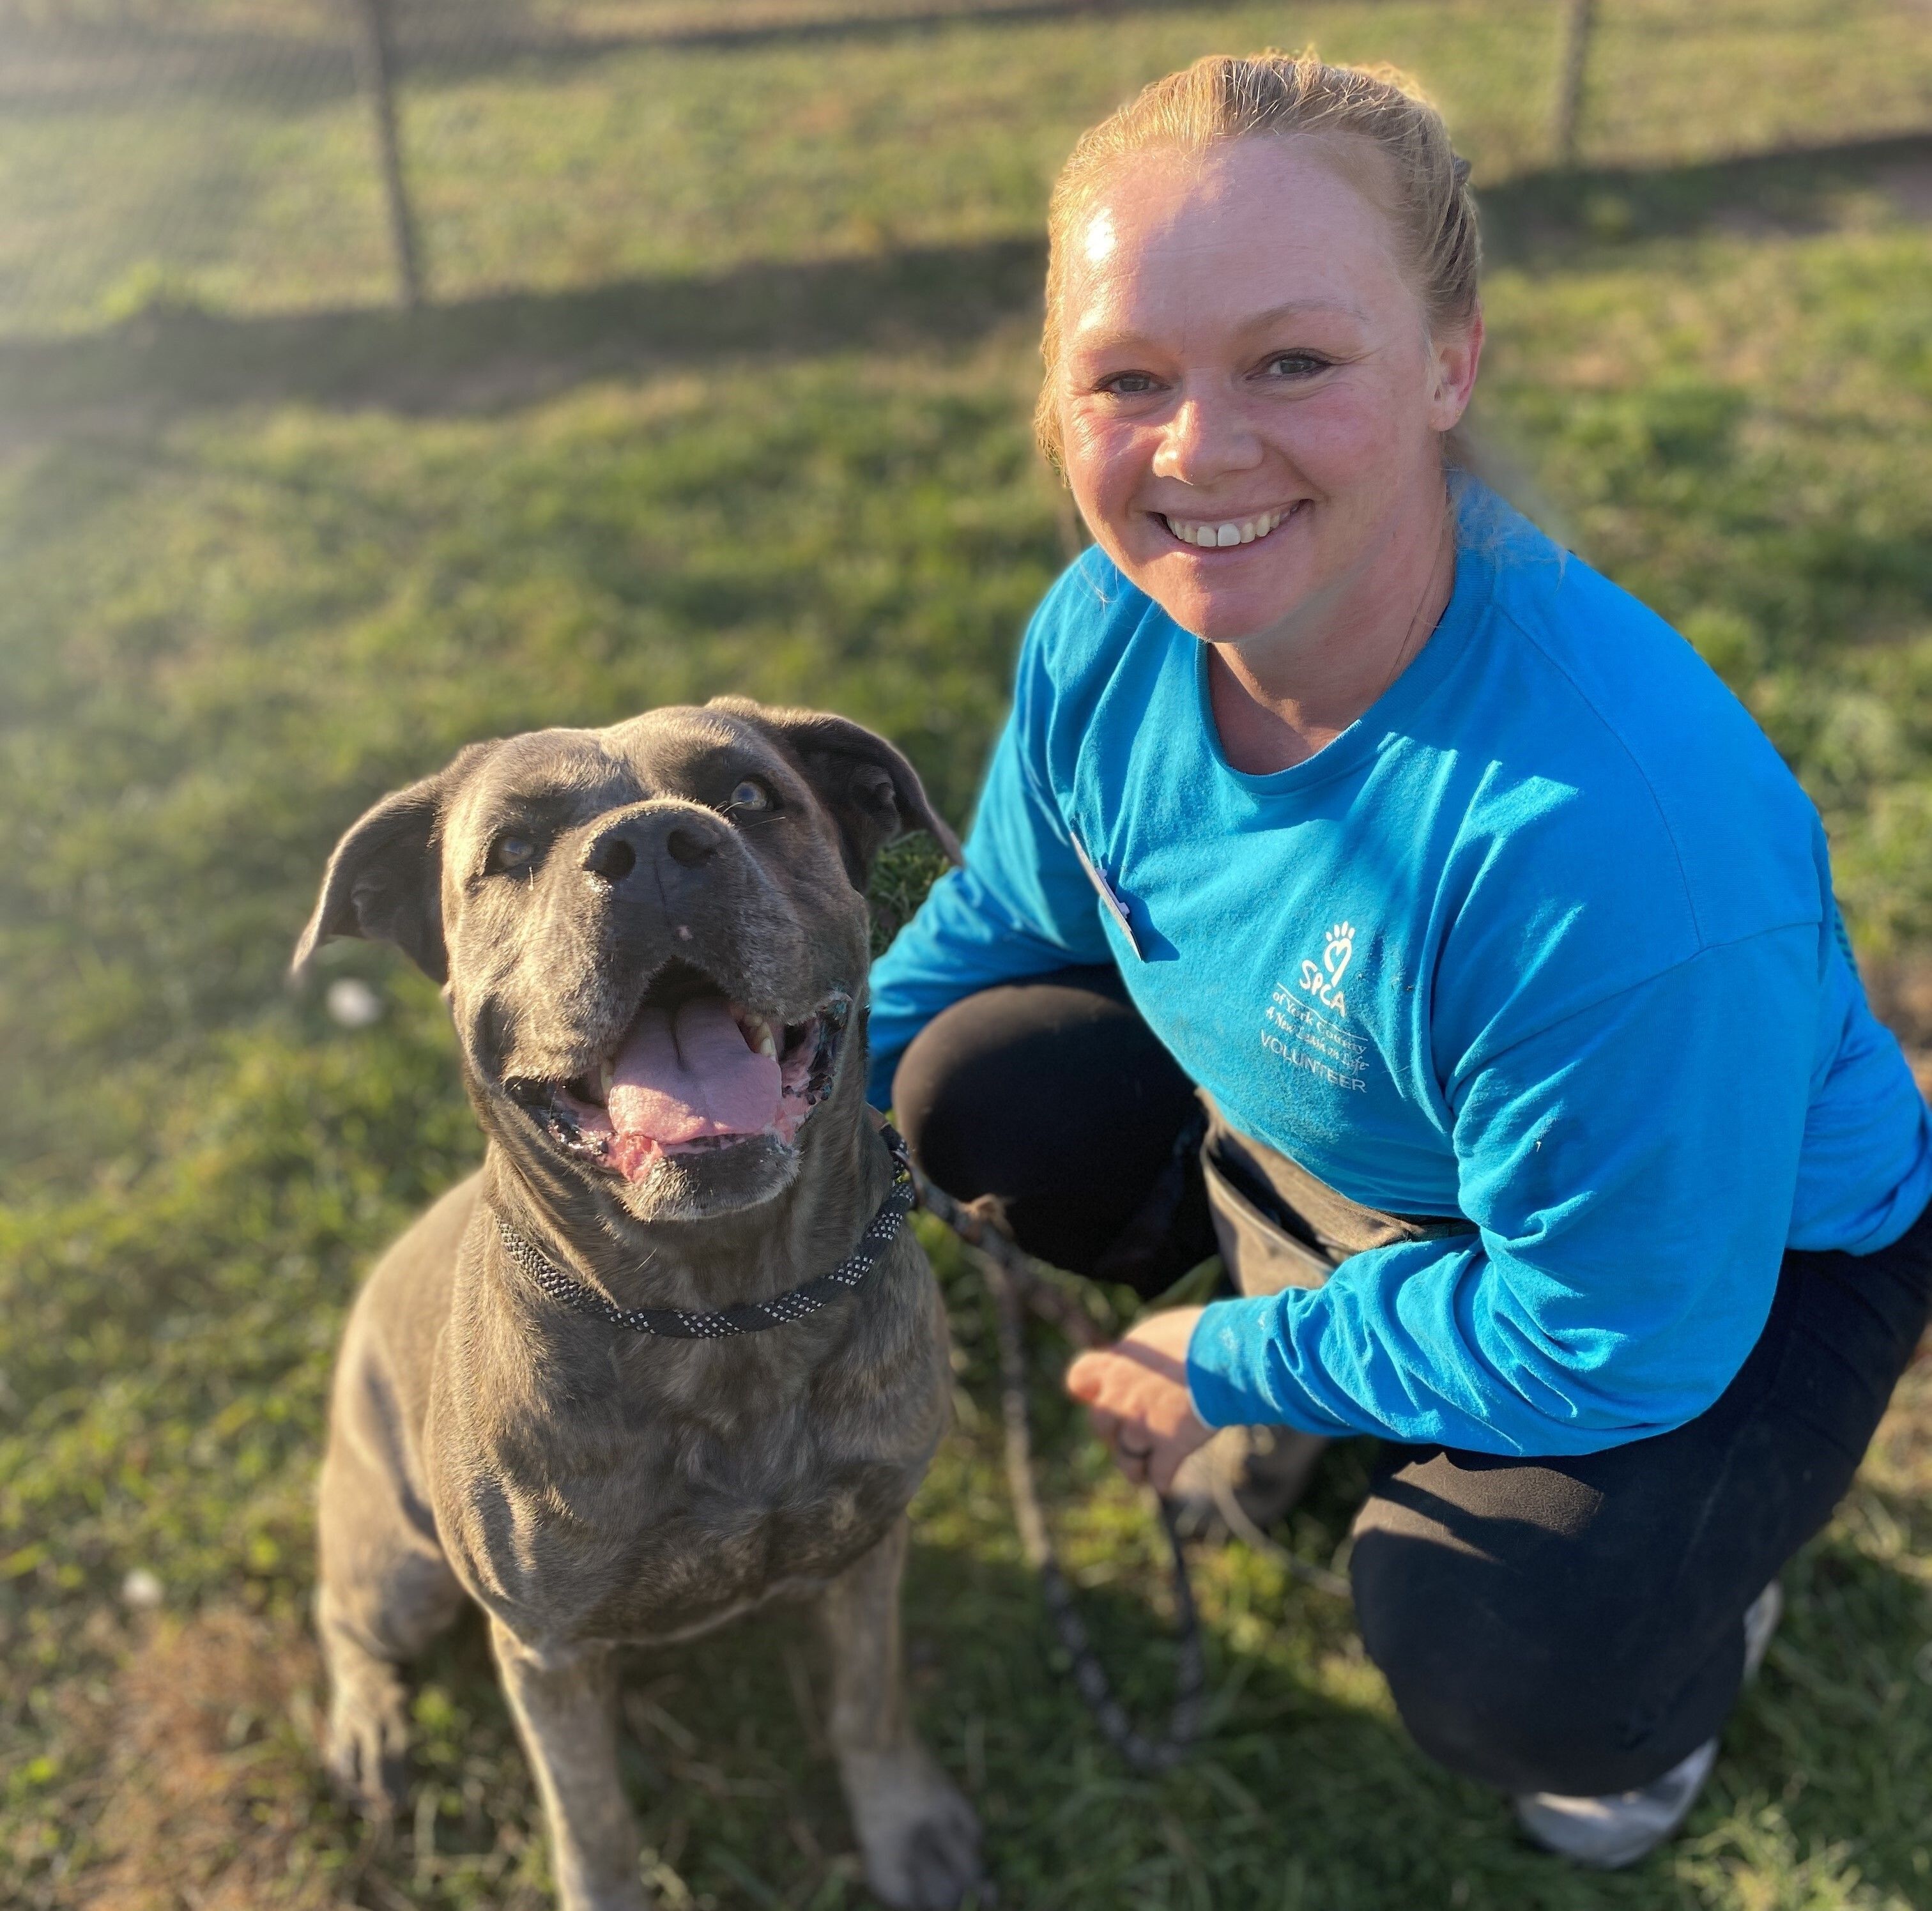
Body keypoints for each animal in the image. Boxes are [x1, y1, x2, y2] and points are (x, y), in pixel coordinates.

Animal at [293, 699, 989, 1908]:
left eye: (749, 795)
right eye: (510, 850)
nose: (654, 846)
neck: (724, 1311)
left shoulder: (866, 1548)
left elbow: (867, 1703)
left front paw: (904, 1823)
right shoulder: (548, 1650)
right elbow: (592, 1819)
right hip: (402, 1572)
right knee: (341, 1613)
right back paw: (371, 1726)